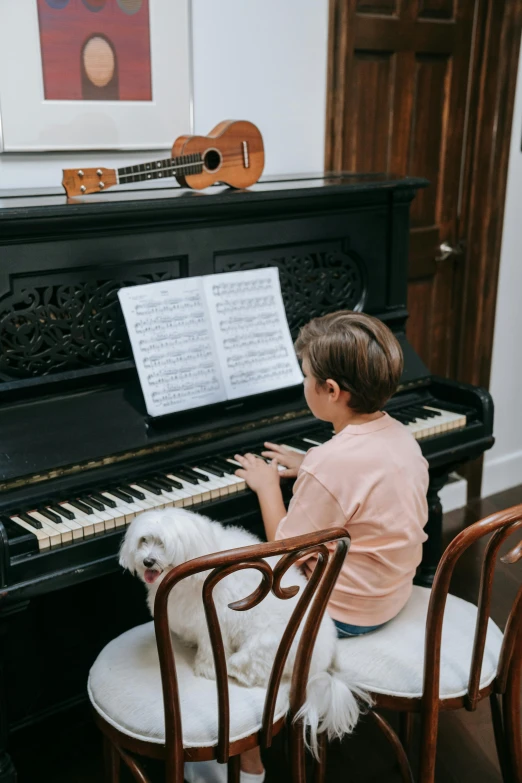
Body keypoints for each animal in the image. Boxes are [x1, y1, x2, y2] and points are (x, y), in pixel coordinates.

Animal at [120, 508, 368, 752]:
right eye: (144, 540)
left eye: (163, 544)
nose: (148, 561)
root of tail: (318, 668)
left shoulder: (211, 621)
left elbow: (210, 650)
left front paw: (206, 669)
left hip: (263, 647)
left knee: (249, 669)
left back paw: (233, 670)